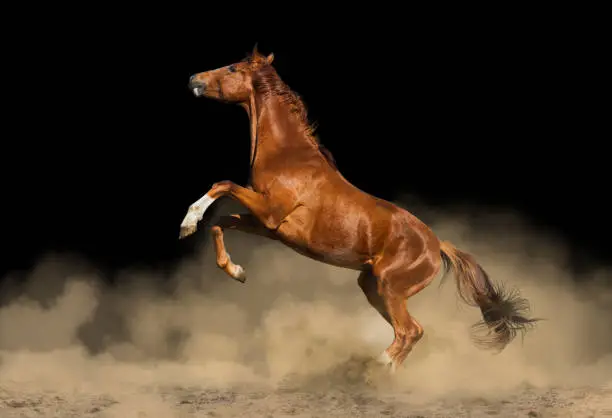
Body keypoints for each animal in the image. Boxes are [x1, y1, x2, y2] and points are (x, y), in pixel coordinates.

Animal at [179, 45, 536, 372]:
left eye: (232, 68)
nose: (194, 78)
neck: (289, 155)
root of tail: (437, 245)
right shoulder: (266, 225)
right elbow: (220, 222)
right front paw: (236, 271)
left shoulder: (269, 211)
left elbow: (222, 185)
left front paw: (187, 221)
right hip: (373, 286)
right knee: (408, 332)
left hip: (390, 287)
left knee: (410, 331)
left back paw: (374, 370)